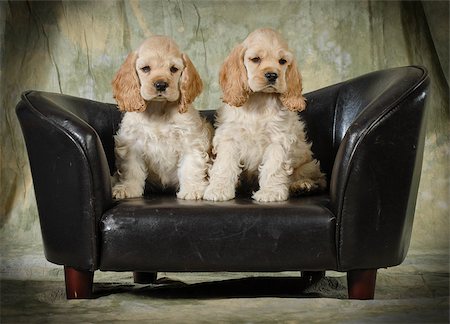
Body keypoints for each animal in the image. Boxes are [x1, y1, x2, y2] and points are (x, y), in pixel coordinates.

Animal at [111, 36, 212, 201]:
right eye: (145, 68)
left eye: (173, 69)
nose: (160, 85)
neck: (158, 108)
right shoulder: (132, 144)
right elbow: (131, 170)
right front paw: (128, 189)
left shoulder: (190, 140)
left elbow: (190, 166)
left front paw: (192, 189)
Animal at [205, 28, 326, 202]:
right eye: (255, 59)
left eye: (282, 61)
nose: (272, 75)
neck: (259, 101)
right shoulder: (229, 138)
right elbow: (224, 165)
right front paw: (218, 190)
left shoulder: (278, 139)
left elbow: (274, 166)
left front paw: (271, 193)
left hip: (309, 165)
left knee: (319, 179)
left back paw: (303, 186)